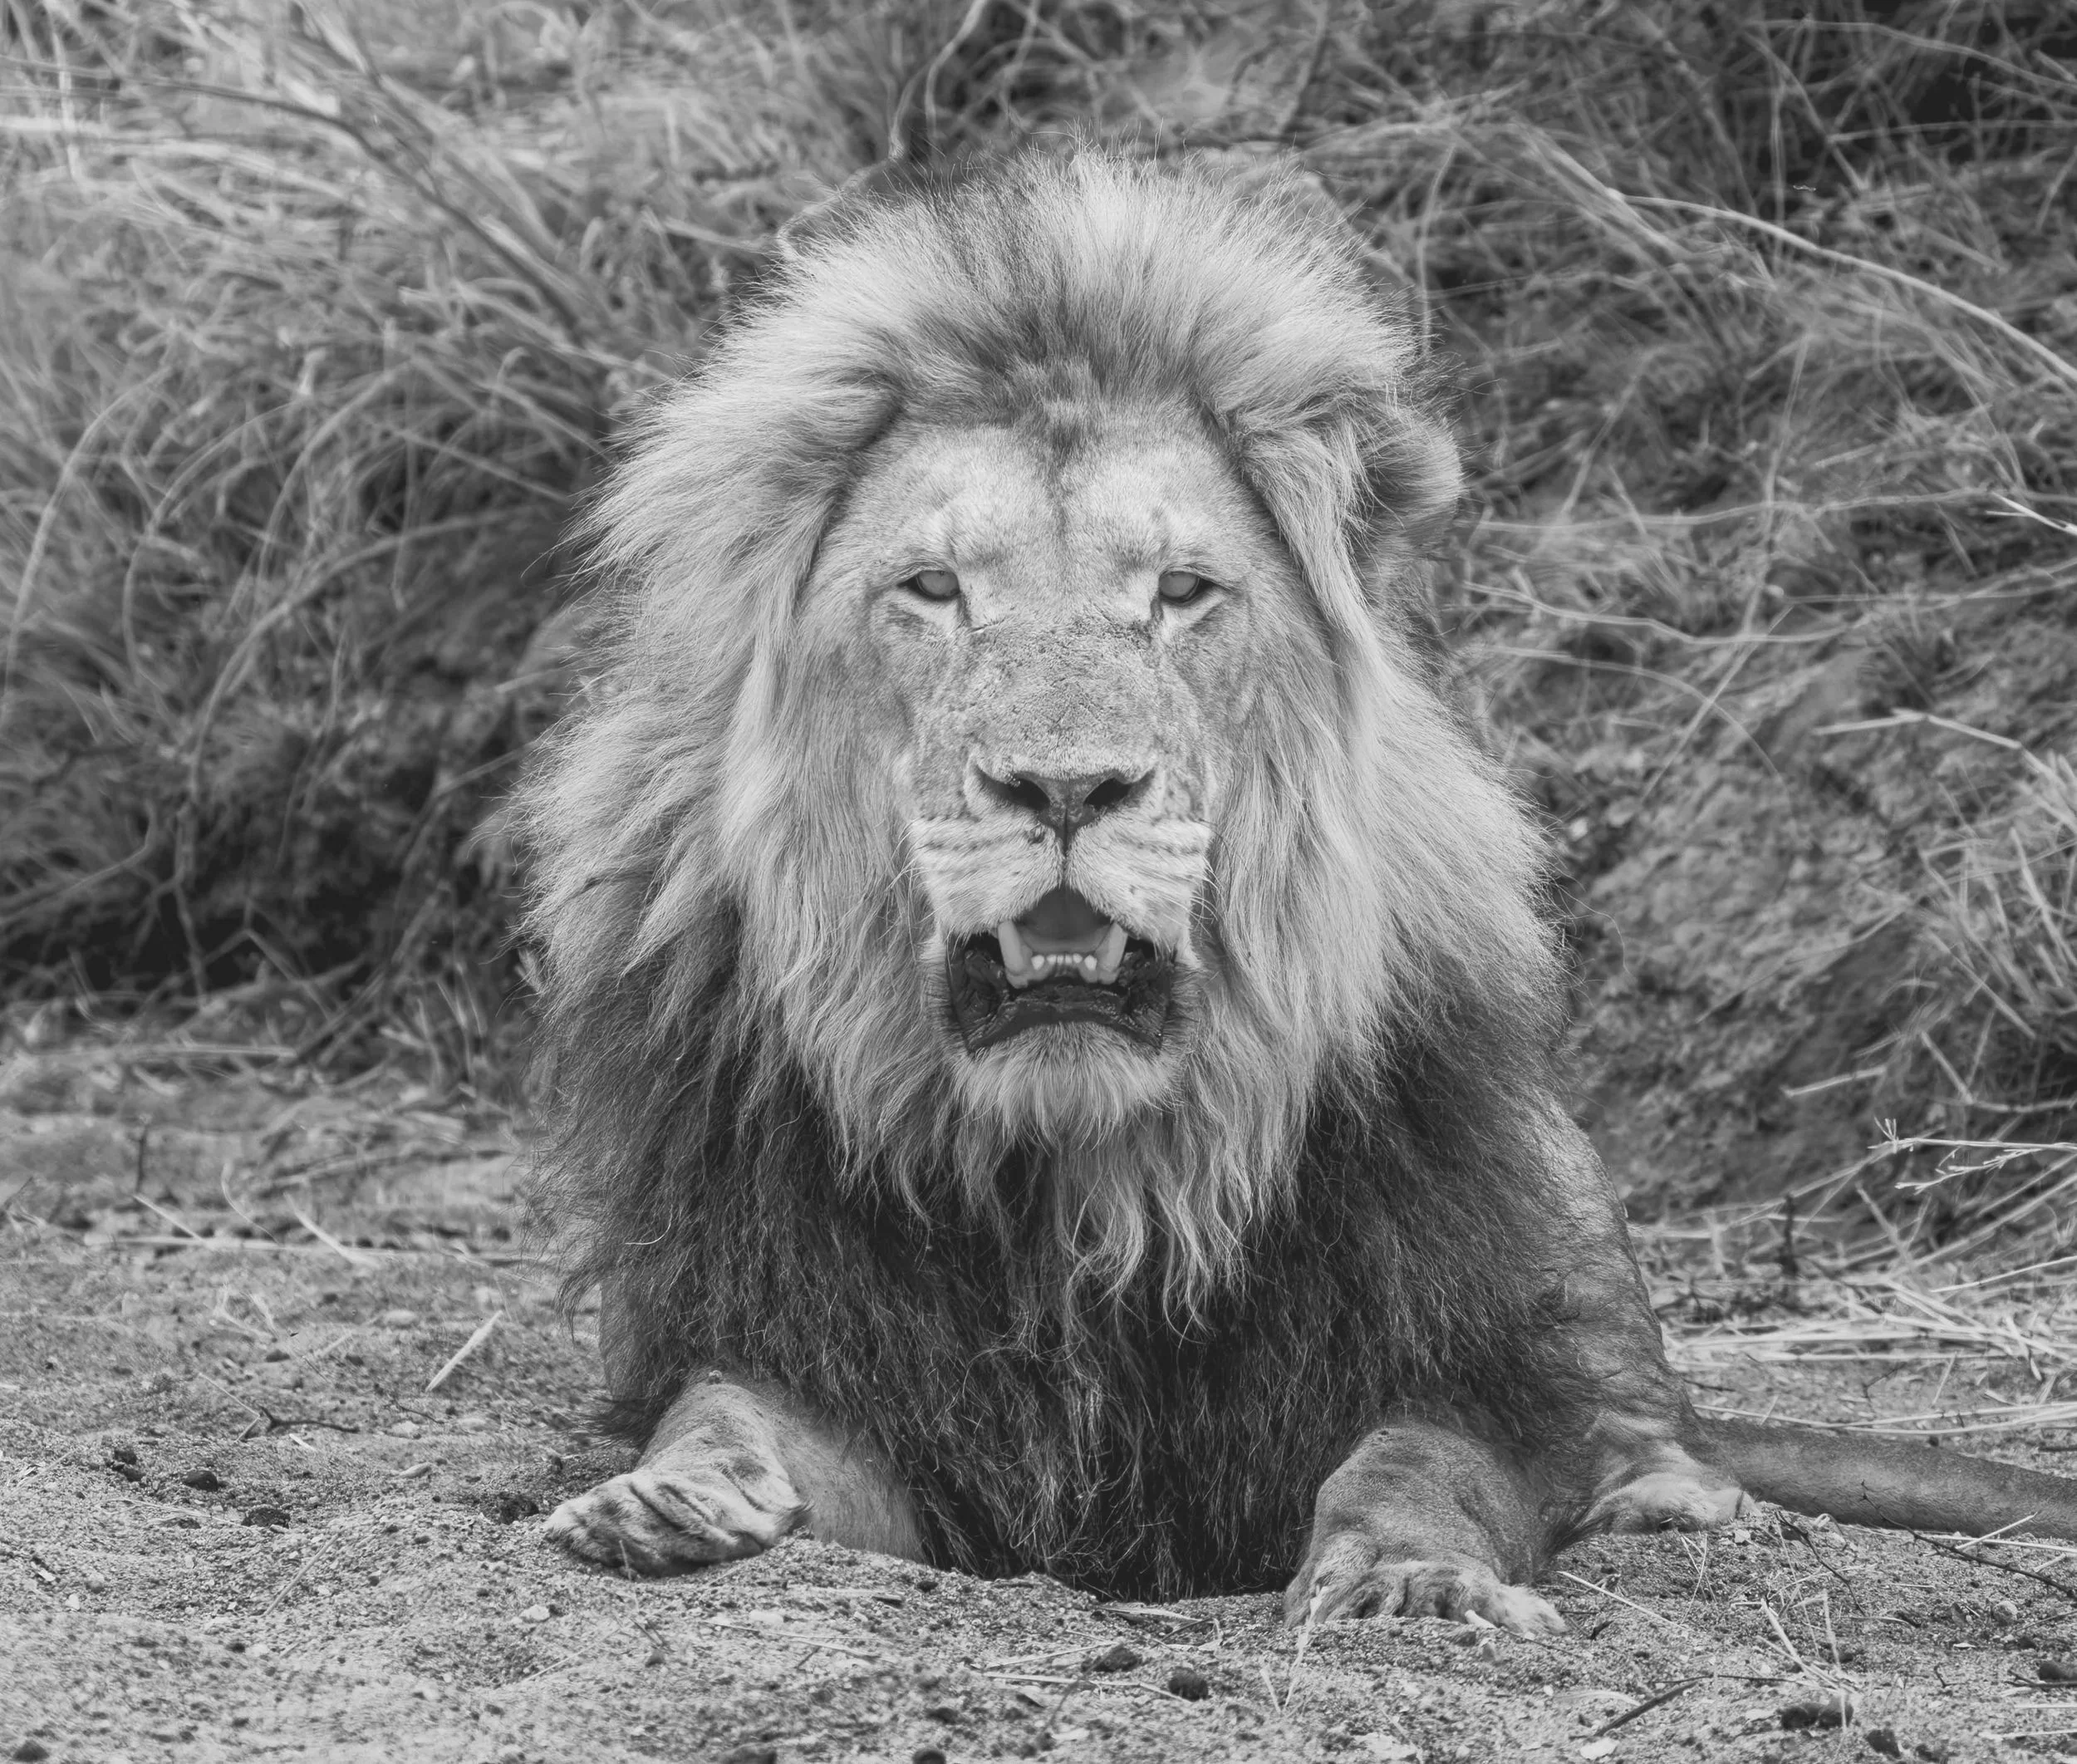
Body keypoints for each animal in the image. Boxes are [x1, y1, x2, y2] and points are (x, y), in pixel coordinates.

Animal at [521, 149, 2077, 1631]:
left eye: (1182, 591)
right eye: (933, 588)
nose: (1067, 789)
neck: (1086, 1179)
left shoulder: (1473, 1370)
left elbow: (1416, 1460)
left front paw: (1410, 1576)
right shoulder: (815, 1354)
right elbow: (721, 1406)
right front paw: (666, 1497)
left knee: (1655, 1425)